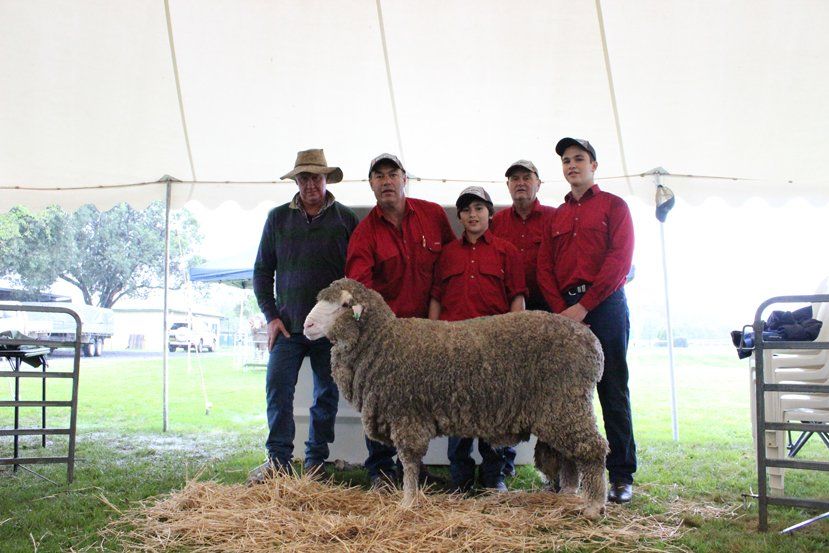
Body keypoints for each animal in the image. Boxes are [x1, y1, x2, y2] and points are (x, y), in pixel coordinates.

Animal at [303, 278, 609, 518]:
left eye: (344, 305)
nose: (307, 325)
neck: (383, 342)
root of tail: (594, 345)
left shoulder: (406, 414)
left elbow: (409, 462)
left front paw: (407, 503)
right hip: (561, 407)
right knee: (569, 455)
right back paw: (568, 496)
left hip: (566, 402)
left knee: (592, 448)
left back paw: (594, 506)